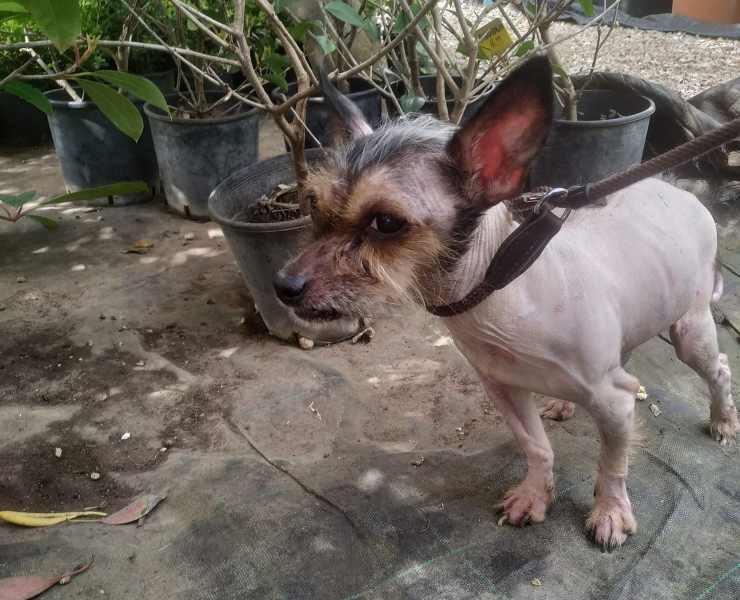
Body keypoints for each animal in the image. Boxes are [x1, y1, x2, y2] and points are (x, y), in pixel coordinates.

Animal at [274, 56, 740, 548]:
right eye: (313, 204)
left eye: (386, 222)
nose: (283, 286)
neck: (504, 293)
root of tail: (683, 192)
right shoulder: (503, 389)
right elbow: (537, 448)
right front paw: (535, 495)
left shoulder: (616, 403)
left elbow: (612, 465)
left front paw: (611, 511)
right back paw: (565, 404)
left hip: (689, 330)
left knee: (719, 368)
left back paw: (724, 419)